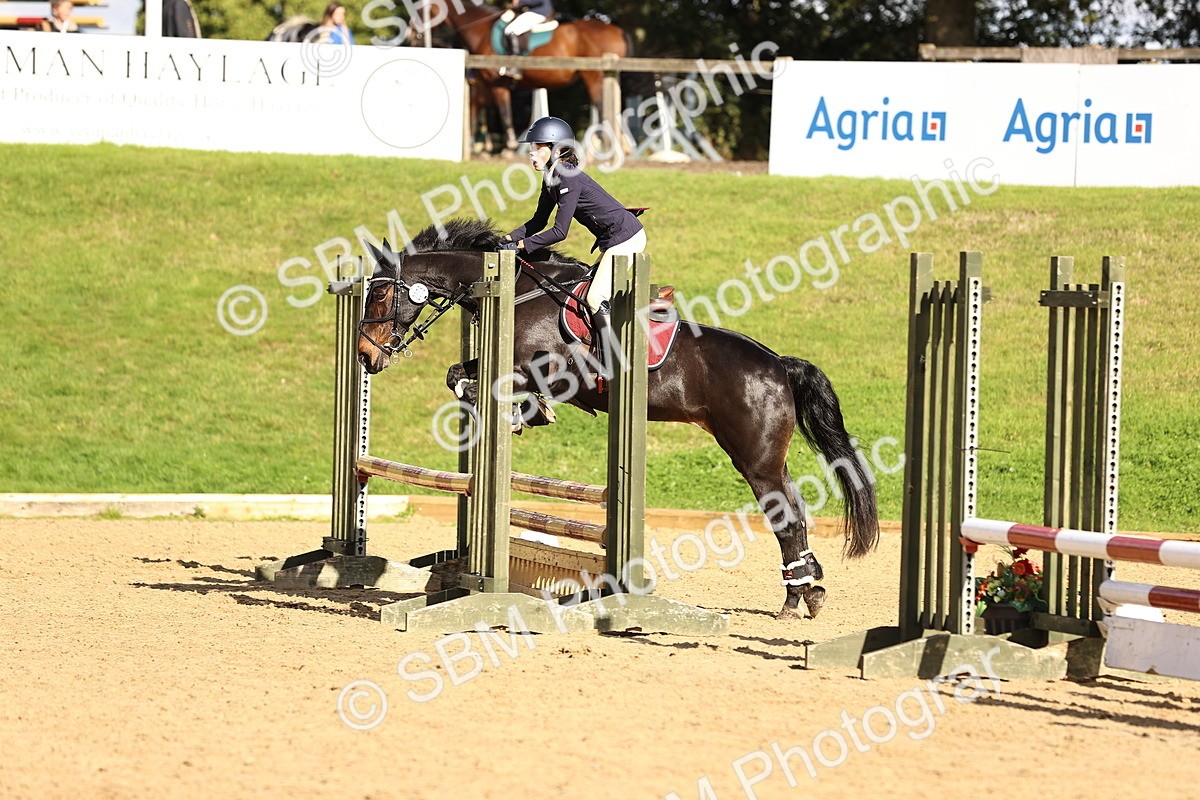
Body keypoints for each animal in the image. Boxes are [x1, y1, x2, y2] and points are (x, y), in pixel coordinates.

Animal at [356, 219, 879, 620]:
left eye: (379, 297)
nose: (364, 356)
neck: (521, 293)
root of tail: (779, 365)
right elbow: (458, 374)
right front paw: (507, 409)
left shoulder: (554, 370)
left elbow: (503, 384)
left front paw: (527, 412)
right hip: (768, 457)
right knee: (795, 513)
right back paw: (807, 592)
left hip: (755, 459)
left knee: (785, 517)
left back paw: (796, 599)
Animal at [408, 0, 630, 151]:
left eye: (420, 10)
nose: (411, 36)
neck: (481, 30)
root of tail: (616, 30)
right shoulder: (486, 84)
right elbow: (479, 111)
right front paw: (478, 146)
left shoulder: (497, 84)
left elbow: (504, 113)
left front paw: (509, 147)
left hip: (595, 77)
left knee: (603, 108)